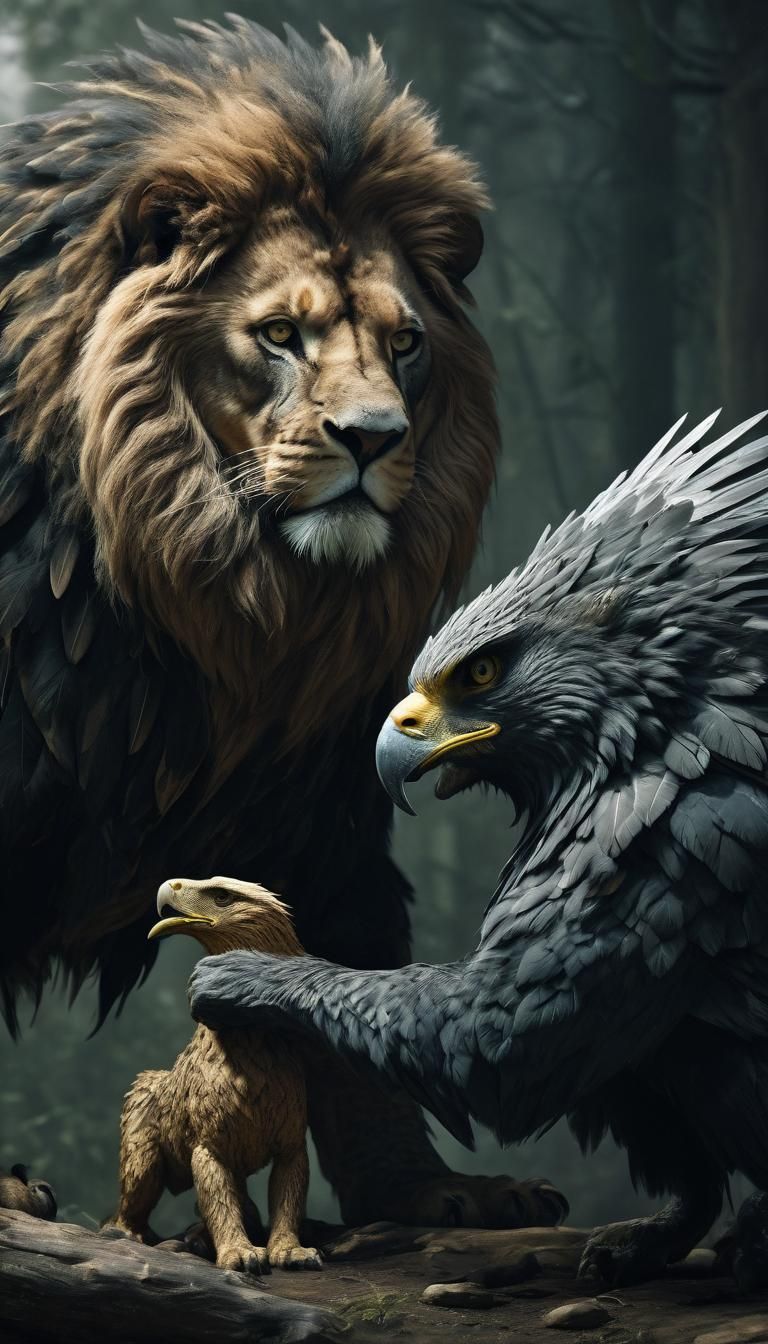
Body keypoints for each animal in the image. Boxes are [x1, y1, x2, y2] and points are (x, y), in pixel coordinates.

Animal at [0, 18, 565, 1230]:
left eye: (405, 343)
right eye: (279, 336)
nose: (373, 437)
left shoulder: (321, 795)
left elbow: (345, 978)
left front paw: (432, 1195)